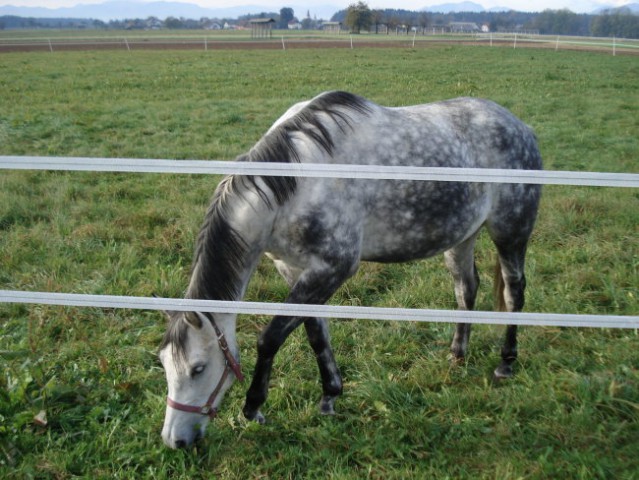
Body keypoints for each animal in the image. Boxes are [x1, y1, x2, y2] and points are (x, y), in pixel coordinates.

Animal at [158, 91, 544, 450]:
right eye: (164, 365)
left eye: (198, 368)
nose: (175, 439)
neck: (296, 182)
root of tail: (521, 127)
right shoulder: (294, 269)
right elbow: (315, 333)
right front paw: (329, 396)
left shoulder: (334, 267)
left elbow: (270, 337)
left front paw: (253, 407)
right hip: (462, 236)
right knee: (466, 289)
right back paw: (457, 354)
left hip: (510, 231)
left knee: (514, 292)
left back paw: (506, 363)